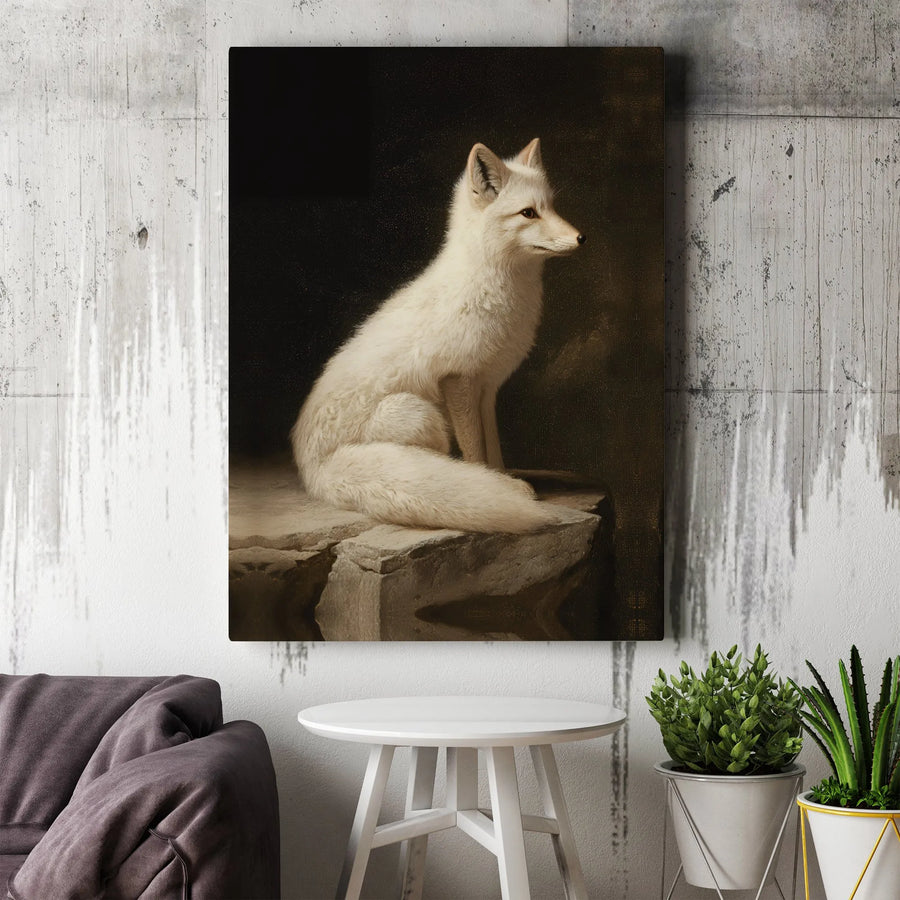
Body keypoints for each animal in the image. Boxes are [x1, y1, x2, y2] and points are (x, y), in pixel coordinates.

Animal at [290, 137, 585, 533]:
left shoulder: (487, 388)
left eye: (551, 207)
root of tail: (314, 471)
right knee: (436, 456)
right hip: (422, 416)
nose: (581, 238)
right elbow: (474, 449)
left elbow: (492, 445)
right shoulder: (457, 379)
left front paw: (500, 479)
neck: (489, 287)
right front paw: (489, 484)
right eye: (528, 213)